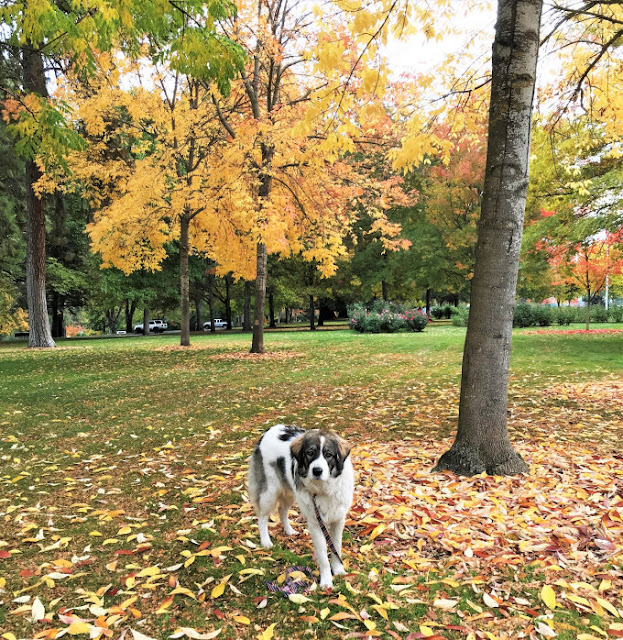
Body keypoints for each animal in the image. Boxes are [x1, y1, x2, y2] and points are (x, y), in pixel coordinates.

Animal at [247, 424, 354, 592]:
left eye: (328, 454)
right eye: (310, 453)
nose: (317, 471)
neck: (324, 488)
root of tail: (271, 429)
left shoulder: (338, 520)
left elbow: (336, 546)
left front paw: (338, 570)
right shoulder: (316, 524)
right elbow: (323, 556)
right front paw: (326, 581)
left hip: (291, 492)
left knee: (282, 510)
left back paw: (289, 531)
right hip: (270, 492)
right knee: (262, 517)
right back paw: (265, 541)